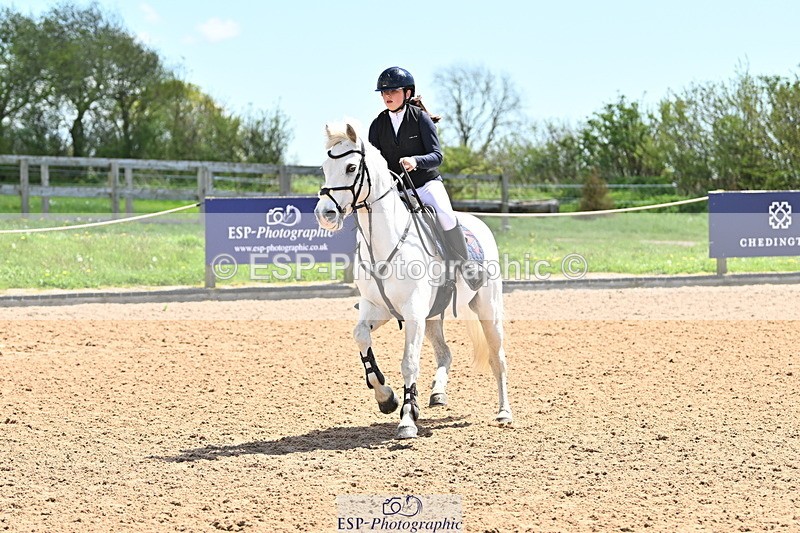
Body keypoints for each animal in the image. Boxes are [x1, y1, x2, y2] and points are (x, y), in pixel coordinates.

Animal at [314, 121, 512, 439]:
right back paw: (437, 394)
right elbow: (361, 337)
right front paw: (386, 397)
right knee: (445, 354)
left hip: (488, 310)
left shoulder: (413, 313)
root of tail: (479, 223)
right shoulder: (377, 308)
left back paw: (504, 413)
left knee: (498, 358)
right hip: (433, 315)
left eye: (350, 167)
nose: (325, 215)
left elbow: (409, 363)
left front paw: (407, 419)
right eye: (323, 167)